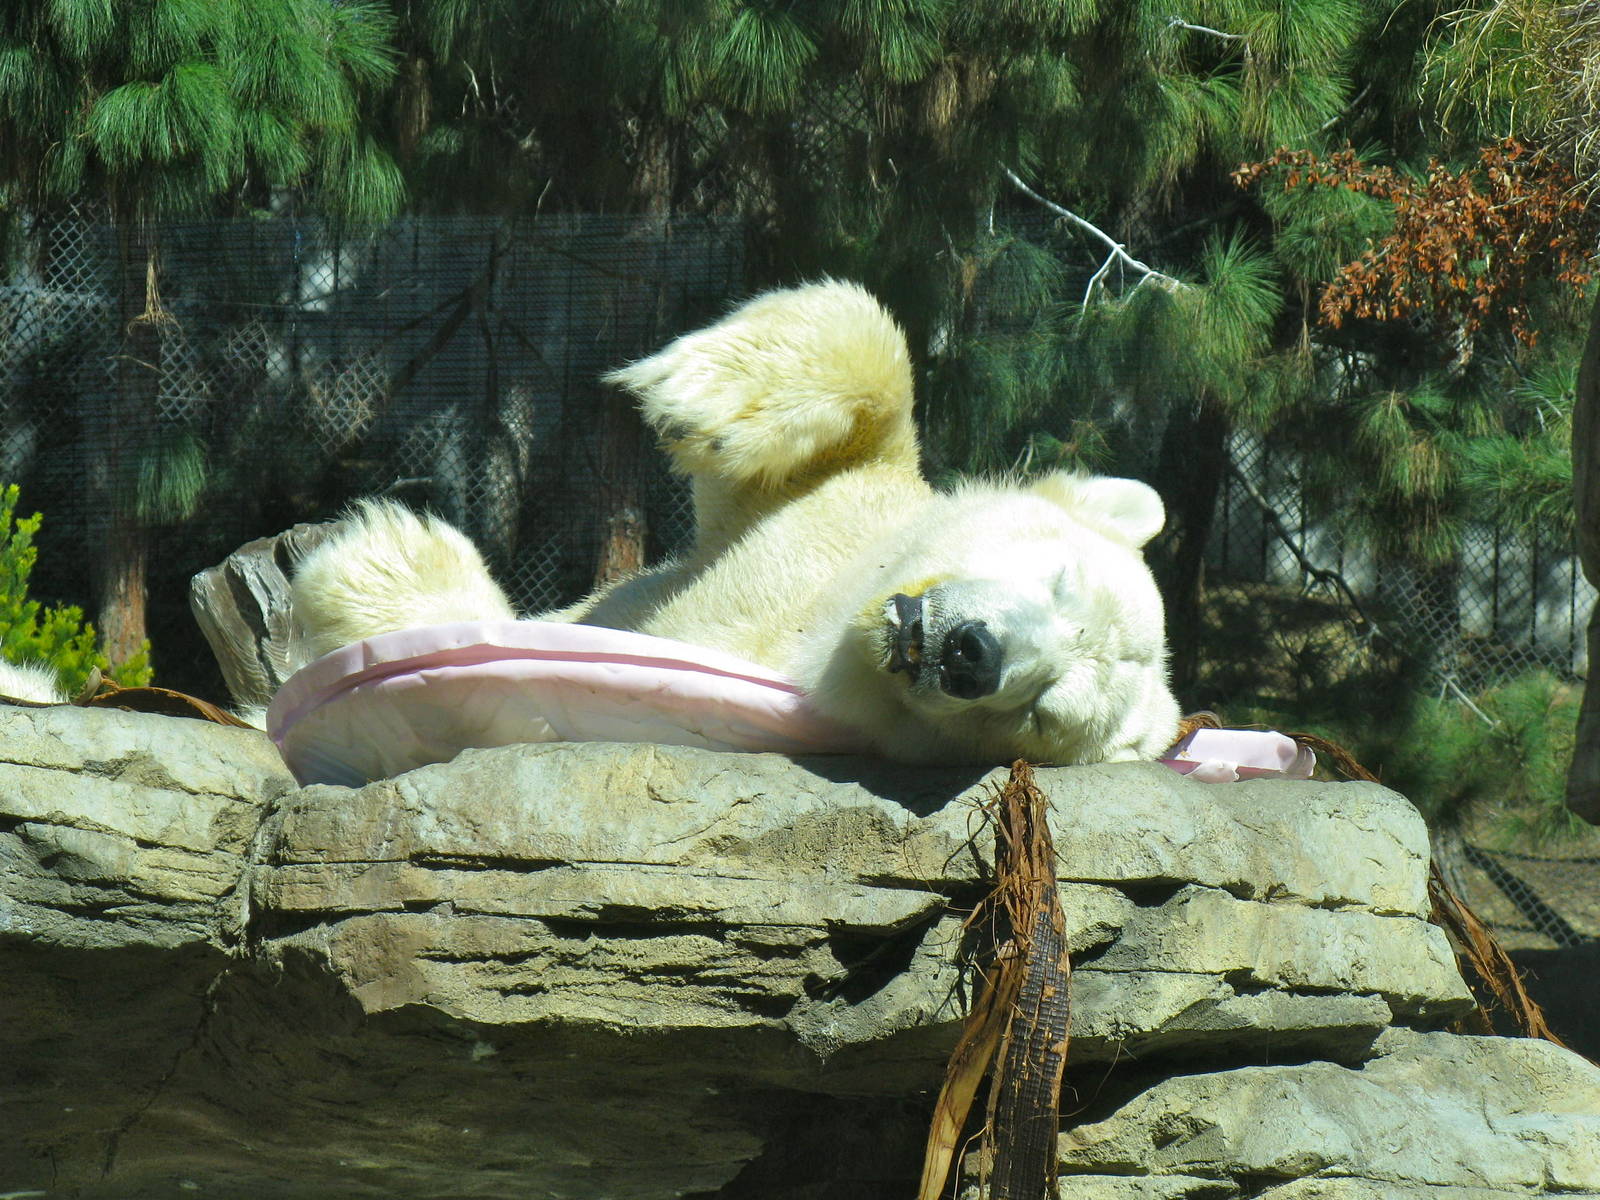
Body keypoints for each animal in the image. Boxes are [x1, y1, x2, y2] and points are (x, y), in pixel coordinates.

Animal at [290, 280, 1182, 766]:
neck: (829, 623)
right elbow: (866, 357)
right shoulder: (828, 518)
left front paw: (382, 562)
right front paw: (700, 392)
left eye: (1045, 712)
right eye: (1059, 576)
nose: (974, 655)